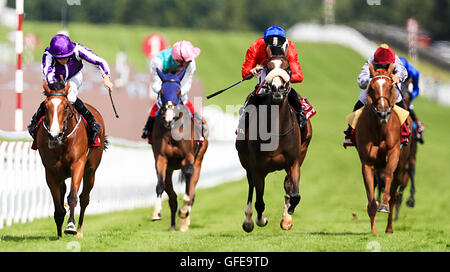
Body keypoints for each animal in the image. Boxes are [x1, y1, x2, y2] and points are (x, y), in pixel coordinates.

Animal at [36, 79, 106, 237]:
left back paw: (79, 230)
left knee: (84, 198)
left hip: (91, 170)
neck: (62, 142)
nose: (54, 135)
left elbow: (73, 196)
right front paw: (59, 229)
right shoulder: (51, 171)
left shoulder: (78, 164)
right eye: (45, 106)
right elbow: (58, 204)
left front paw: (70, 226)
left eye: (66, 106)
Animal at [150, 67, 208, 231]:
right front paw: (156, 213)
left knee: (192, 190)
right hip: (170, 169)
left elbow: (188, 181)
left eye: (178, 91)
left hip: (199, 160)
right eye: (162, 91)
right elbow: (160, 185)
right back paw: (172, 226)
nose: (169, 117)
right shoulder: (161, 158)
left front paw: (183, 211)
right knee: (173, 197)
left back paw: (184, 223)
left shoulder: (188, 157)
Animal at [236, 46, 312, 232]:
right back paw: (248, 220)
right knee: (251, 187)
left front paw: (289, 213)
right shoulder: (258, 168)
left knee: (287, 185)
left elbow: (294, 194)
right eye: (267, 68)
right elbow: (259, 202)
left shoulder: (293, 162)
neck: (276, 130)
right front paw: (260, 219)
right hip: (246, 161)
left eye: (287, 68)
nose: (277, 88)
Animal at [356, 63, 412, 234]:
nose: (382, 113)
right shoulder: (368, 163)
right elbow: (371, 199)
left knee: (394, 196)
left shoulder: (394, 153)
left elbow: (388, 175)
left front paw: (384, 205)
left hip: (401, 168)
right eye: (371, 87)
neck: (379, 129)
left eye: (390, 86)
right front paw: (373, 231)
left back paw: (389, 228)